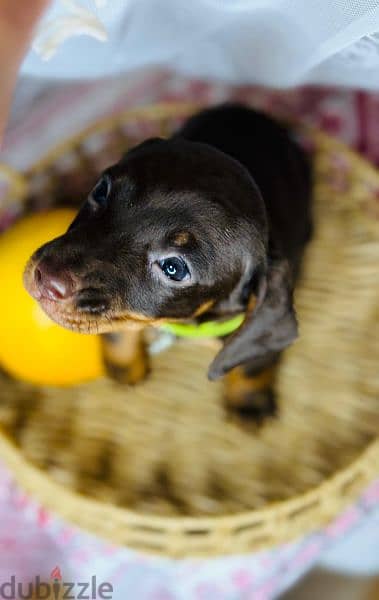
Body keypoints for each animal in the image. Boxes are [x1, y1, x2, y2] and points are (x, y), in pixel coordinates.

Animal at [23, 103, 312, 420]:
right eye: (101, 191)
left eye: (174, 268)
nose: (45, 279)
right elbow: (118, 331)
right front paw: (124, 366)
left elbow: (253, 364)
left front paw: (249, 403)